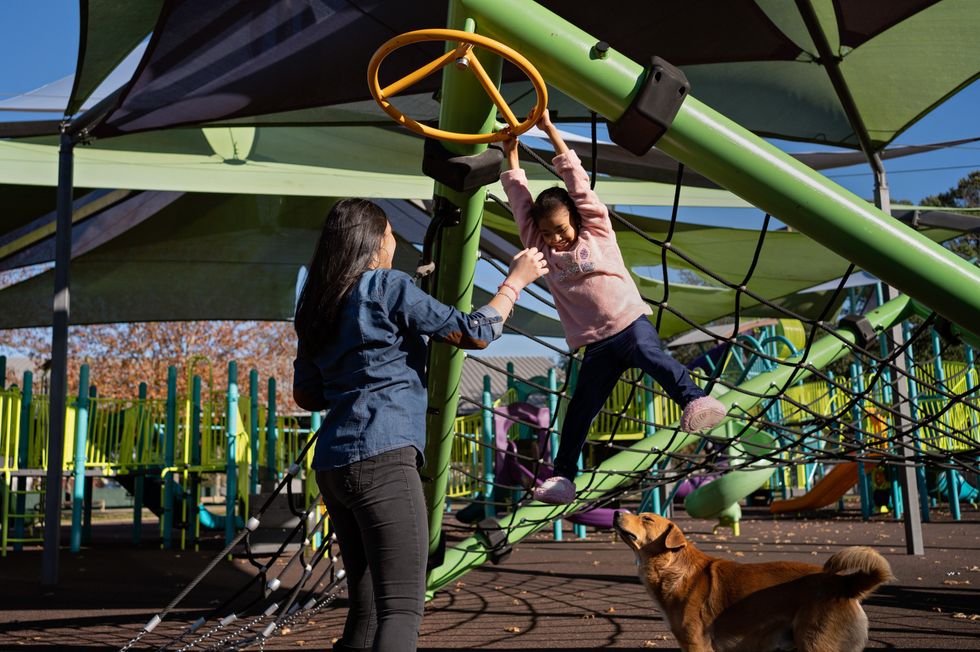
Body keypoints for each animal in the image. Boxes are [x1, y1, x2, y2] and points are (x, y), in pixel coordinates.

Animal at [616, 512, 892, 648]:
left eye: (646, 518)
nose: (618, 511)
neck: (674, 567)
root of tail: (844, 584)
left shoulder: (696, 643)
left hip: (816, 643)